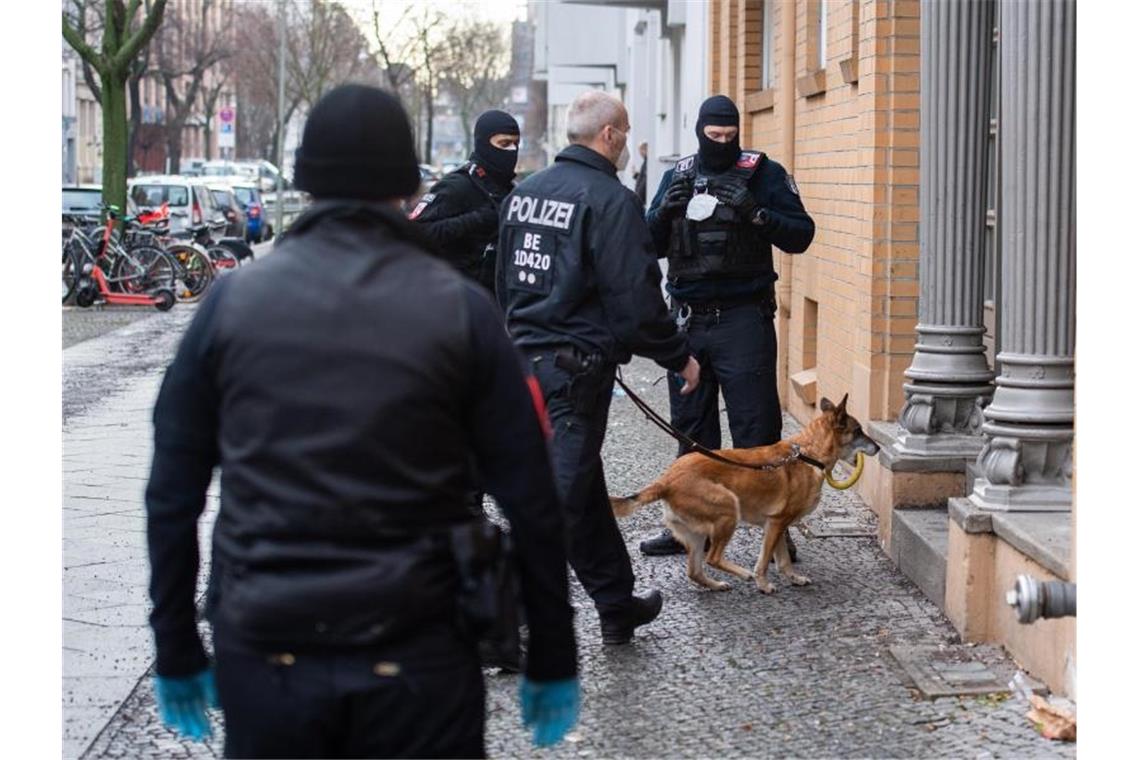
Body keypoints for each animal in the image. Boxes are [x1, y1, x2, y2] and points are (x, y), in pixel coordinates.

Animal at [611, 398, 875, 592]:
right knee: (713, 558)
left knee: (694, 571)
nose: (879, 447)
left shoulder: (776, 525)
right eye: (858, 430)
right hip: (728, 509)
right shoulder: (776, 523)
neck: (807, 453)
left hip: (697, 533)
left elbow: (783, 560)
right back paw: (743, 574)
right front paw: (763, 584)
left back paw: (716, 585)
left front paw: (794, 578)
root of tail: (667, 480)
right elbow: (765, 560)